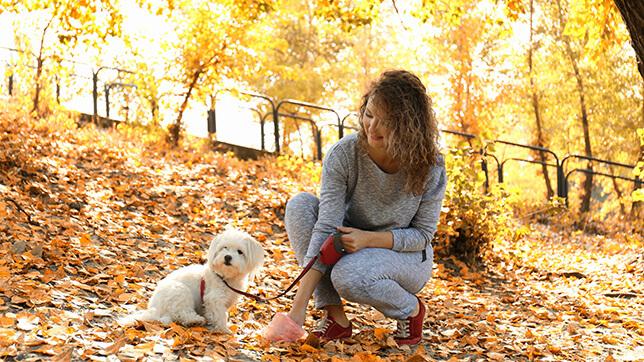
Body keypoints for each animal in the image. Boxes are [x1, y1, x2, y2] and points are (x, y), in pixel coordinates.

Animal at [118, 229, 264, 330]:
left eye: (240, 252)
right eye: (224, 248)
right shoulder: (213, 299)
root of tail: (154, 310)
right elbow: (220, 315)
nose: (227, 257)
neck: (225, 277)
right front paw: (224, 330)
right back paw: (195, 320)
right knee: (182, 314)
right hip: (180, 291)